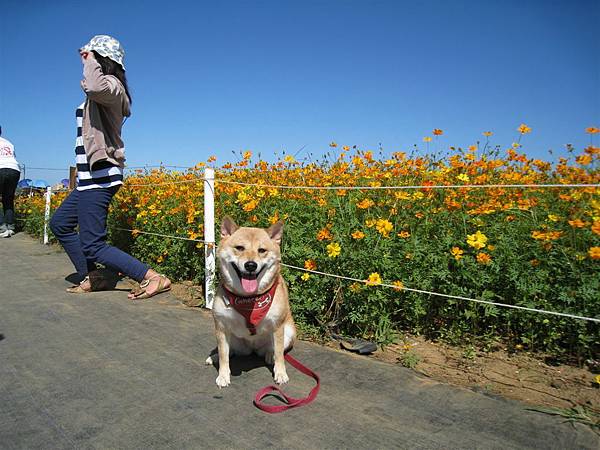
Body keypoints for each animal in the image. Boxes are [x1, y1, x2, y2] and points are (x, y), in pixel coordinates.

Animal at [206, 217, 298, 386]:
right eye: (240, 248)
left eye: (261, 250)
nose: (250, 265)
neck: (248, 298)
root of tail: (253, 348)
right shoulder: (221, 326)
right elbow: (223, 355)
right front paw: (223, 375)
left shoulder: (278, 326)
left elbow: (280, 354)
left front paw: (281, 373)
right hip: (233, 339)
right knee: (230, 351)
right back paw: (213, 357)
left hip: (288, 332)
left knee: (274, 349)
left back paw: (269, 355)